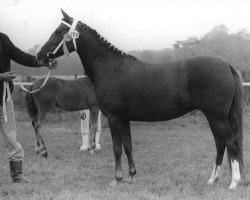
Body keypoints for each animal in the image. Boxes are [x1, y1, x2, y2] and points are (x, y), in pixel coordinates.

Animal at [36, 9, 244, 189]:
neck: (110, 69)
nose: (40, 56)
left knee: (231, 142)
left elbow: (117, 148)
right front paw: (131, 176)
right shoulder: (125, 119)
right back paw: (212, 179)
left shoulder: (114, 118)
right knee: (220, 143)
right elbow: (128, 146)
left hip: (216, 117)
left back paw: (234, 183)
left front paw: (117, 179)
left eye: (59, 31)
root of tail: (226, 65)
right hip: (214, 117)